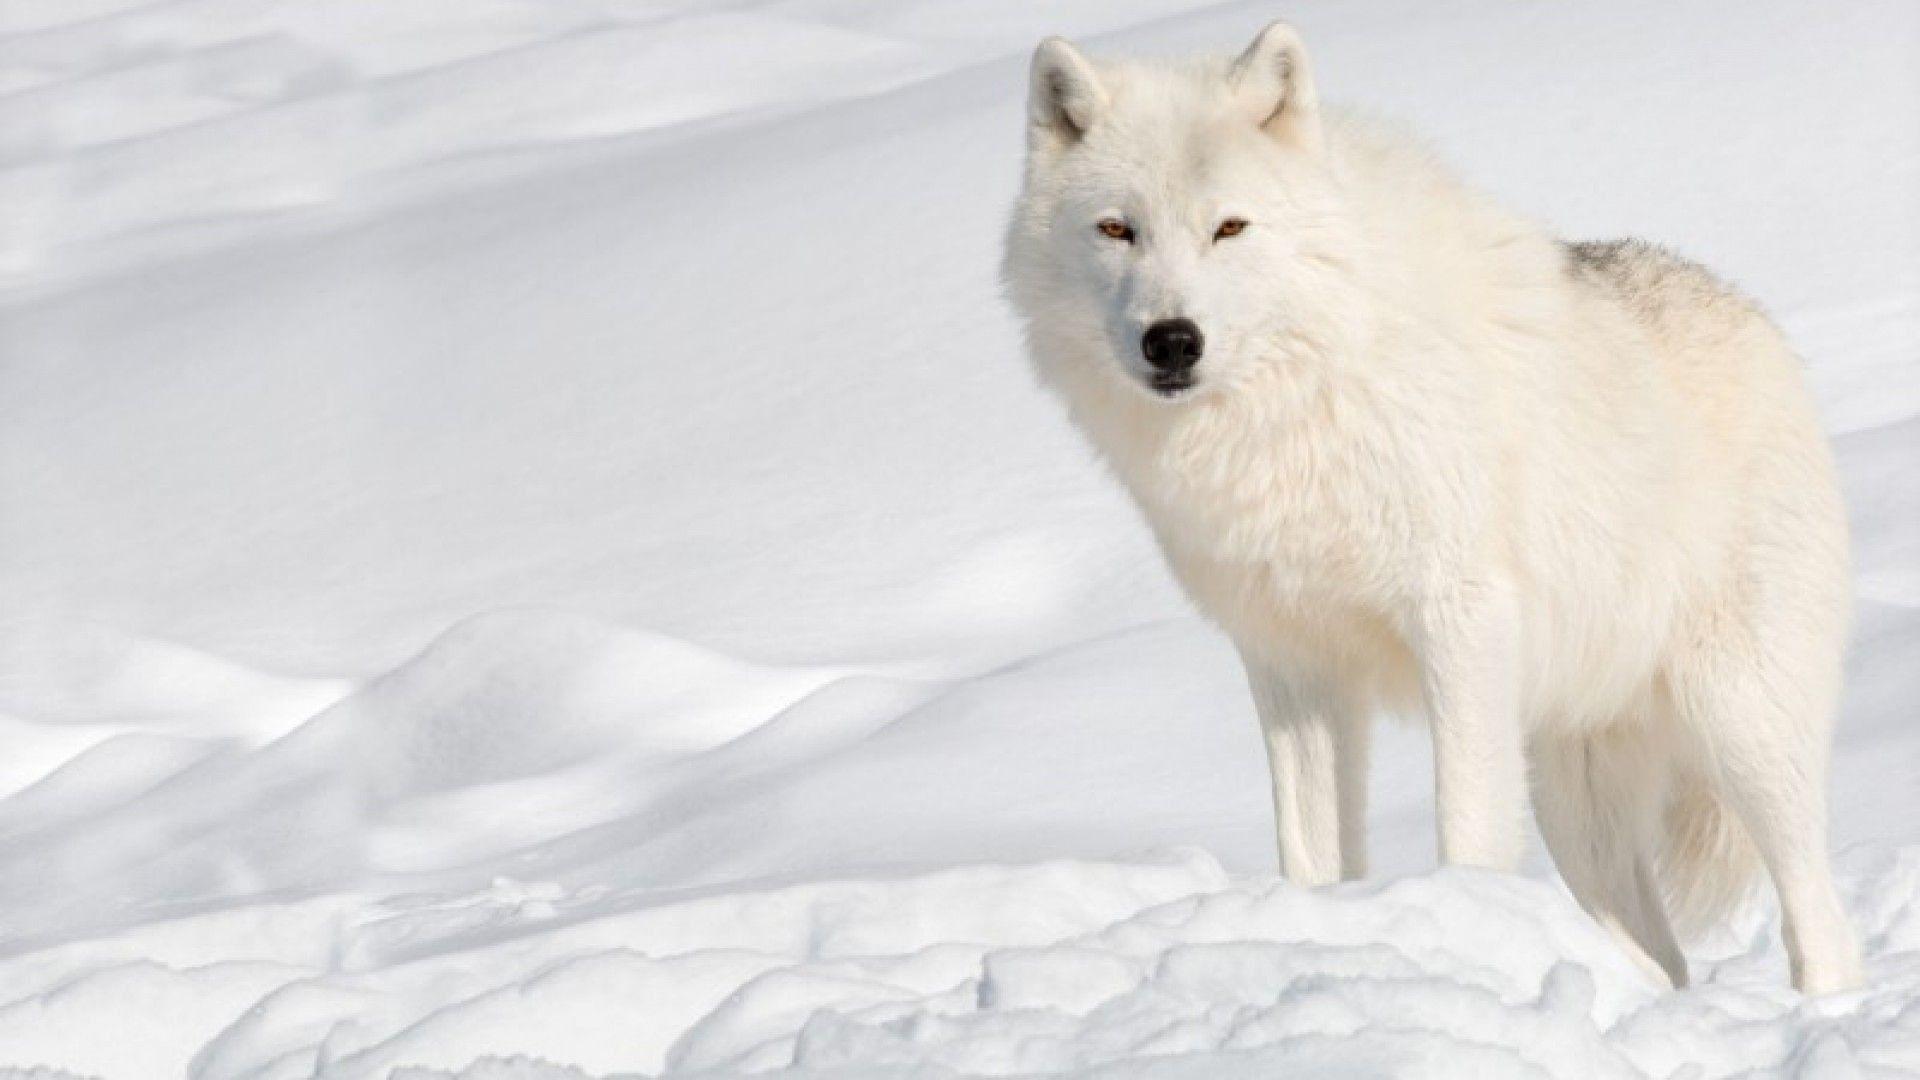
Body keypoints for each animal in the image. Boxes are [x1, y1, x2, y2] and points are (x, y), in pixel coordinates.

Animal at [1001, 22, 1861, 993]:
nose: (1172, 341)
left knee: (1822, 924)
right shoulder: (1292, 664)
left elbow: (1467, 826)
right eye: (1117, 229)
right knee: (1661, 960)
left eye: (1229, 227)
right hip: (1578, 806)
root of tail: (1764, 330)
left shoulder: (1460, 619)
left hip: (1742, 728)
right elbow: (1312, 853)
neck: (1298, 405)